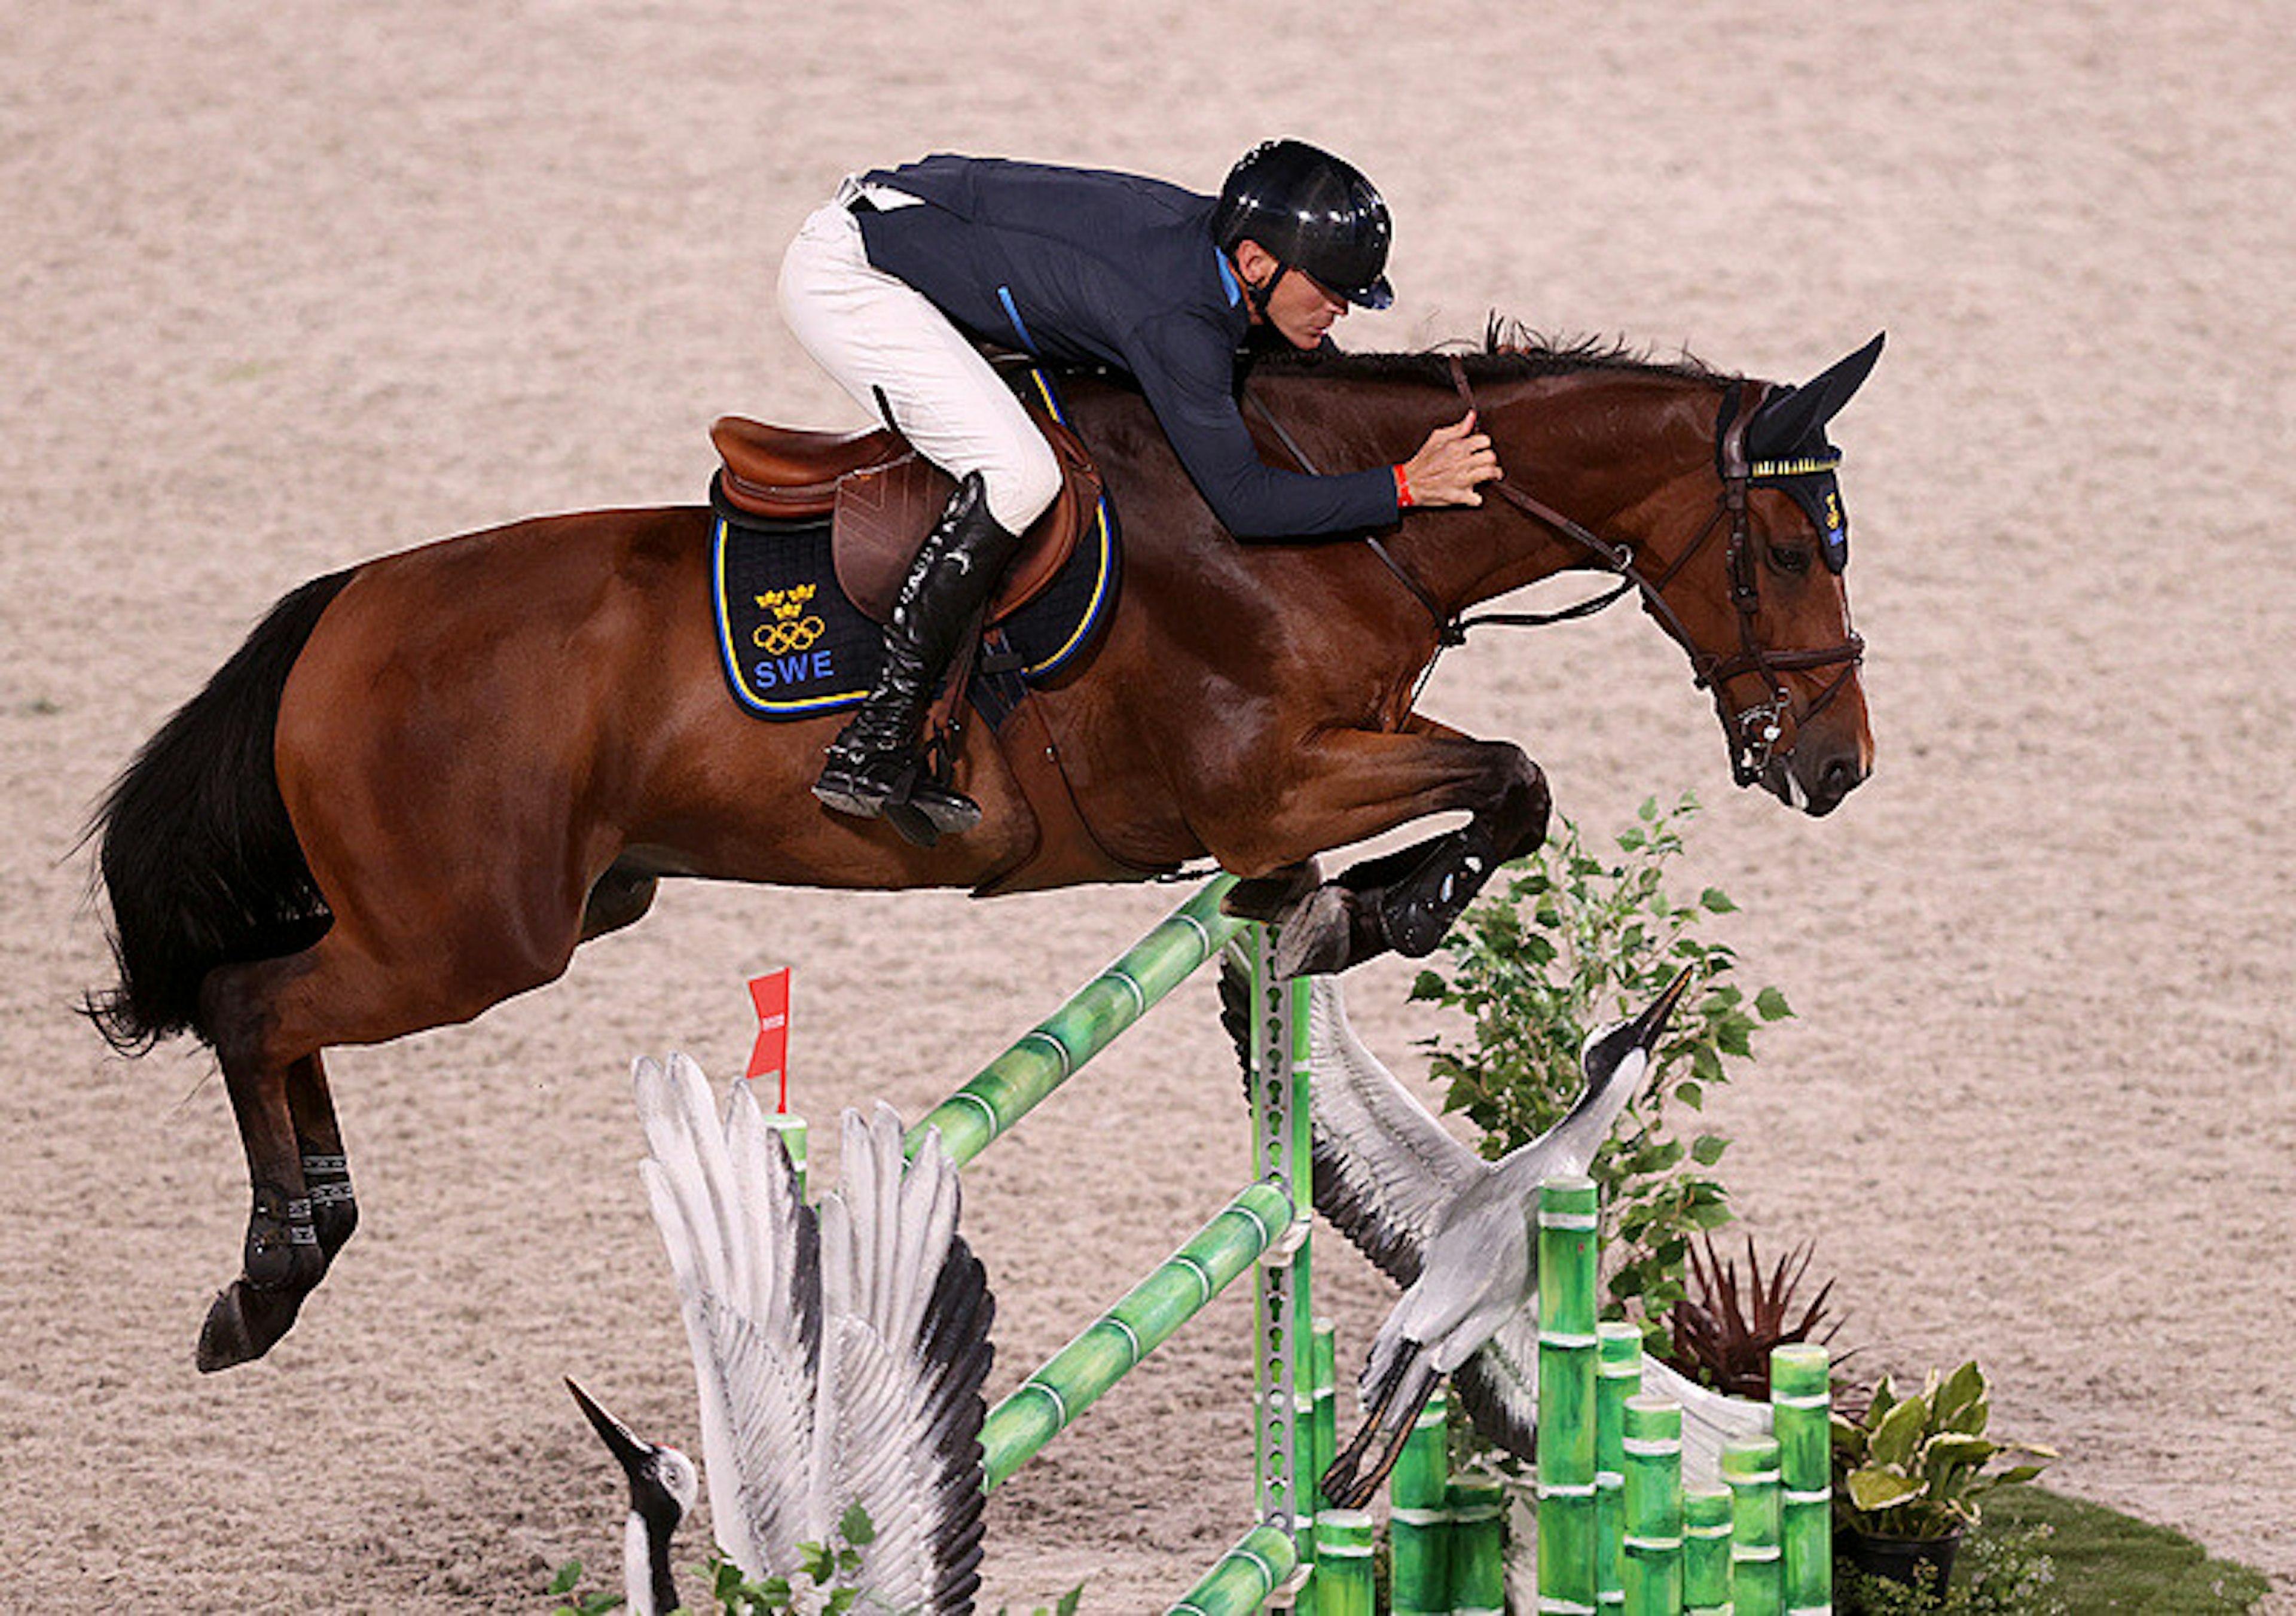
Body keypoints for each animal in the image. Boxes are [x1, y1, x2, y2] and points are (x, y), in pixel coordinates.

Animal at [89, 330, 1882, 1377]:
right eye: (1796, 545)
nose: (1836, 766)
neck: (1319, 512)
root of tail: (340, 611)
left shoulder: (1327, 765)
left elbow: (1494, 793)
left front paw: (1338, 923)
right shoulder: (1267, 786)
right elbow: (1510, 782)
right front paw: (1385, 910)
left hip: (561, 909)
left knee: (280, 1020)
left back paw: (300, 1245)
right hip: (470, 937)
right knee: (256, 1009)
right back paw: (271, 1277)